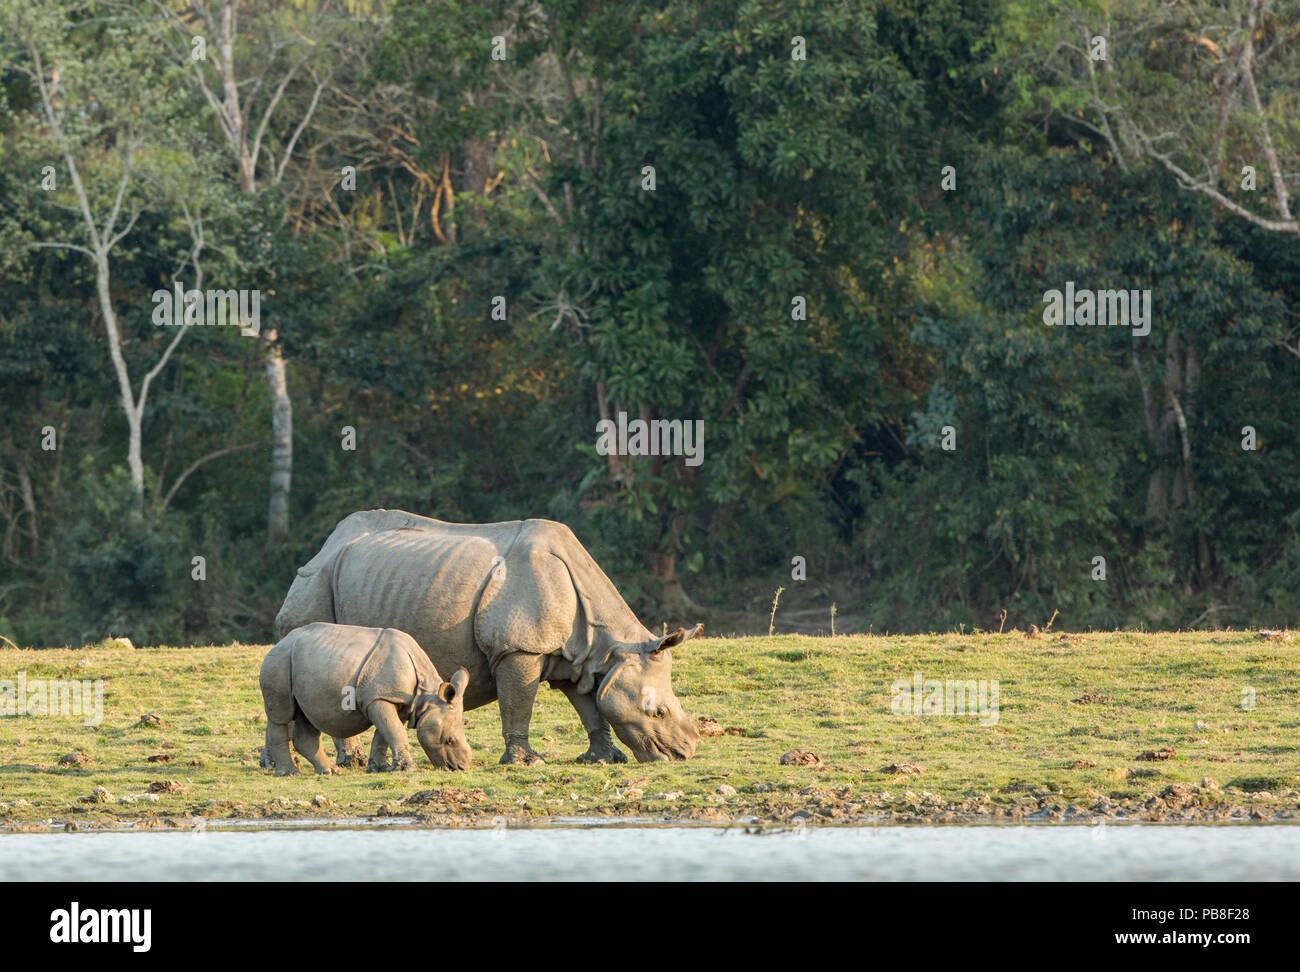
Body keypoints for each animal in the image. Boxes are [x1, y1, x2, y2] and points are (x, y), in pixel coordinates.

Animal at [260, 623, 473, 774]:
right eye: (450, 740)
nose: (461, 767)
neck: (426, 697)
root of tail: (280, 642)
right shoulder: (379, 698)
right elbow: (395, 731)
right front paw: (408, 768)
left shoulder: (397, 701)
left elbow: (385, 734)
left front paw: (380, 768)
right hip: (279, 661)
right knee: (281, 715)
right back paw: (290, 773)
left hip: (305, 664)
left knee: (306, 717)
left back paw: (329, 771)